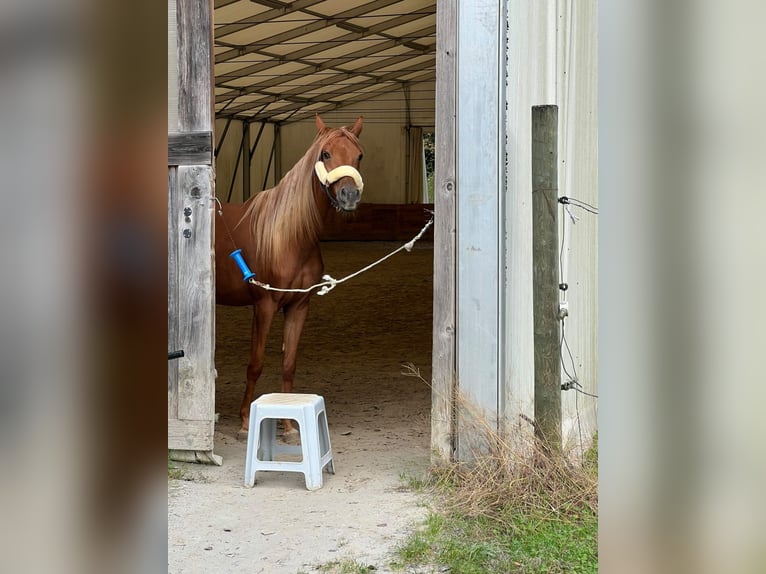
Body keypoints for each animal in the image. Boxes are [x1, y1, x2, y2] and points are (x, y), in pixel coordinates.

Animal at [215, 114, 364, 439]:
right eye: (325, 154)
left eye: (359, 155)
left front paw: (287, 425)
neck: (289, 236)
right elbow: (255, 364)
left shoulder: (298, 306)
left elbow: (288, 364)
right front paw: (245, 421)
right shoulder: (264, 306)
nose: (349, 196)